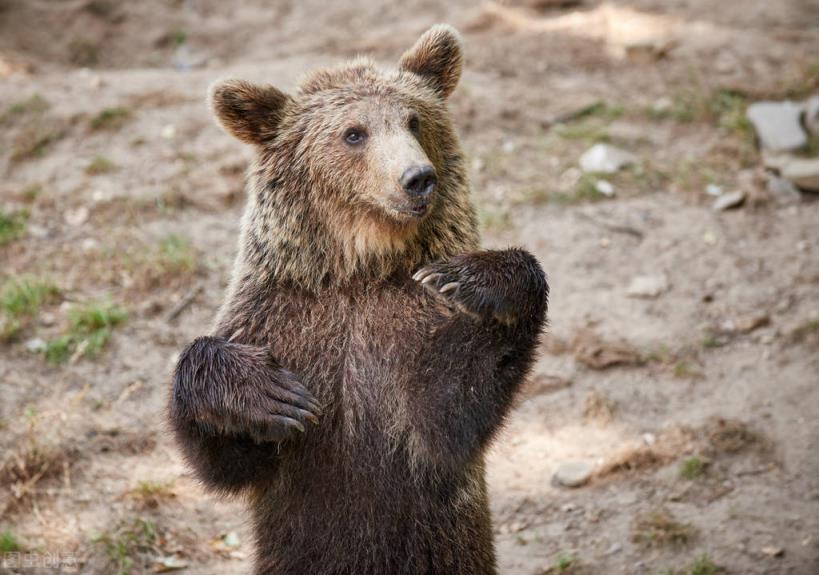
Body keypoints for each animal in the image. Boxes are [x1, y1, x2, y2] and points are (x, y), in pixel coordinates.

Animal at [170, 24, 548, 575]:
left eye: (414, 119)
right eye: (354, 133)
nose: (418, 178)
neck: (359, 271)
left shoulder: (409, 328)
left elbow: (447, 415)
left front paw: (476, 282)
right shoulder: (281, 320)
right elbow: (231, 456)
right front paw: (270, 393)